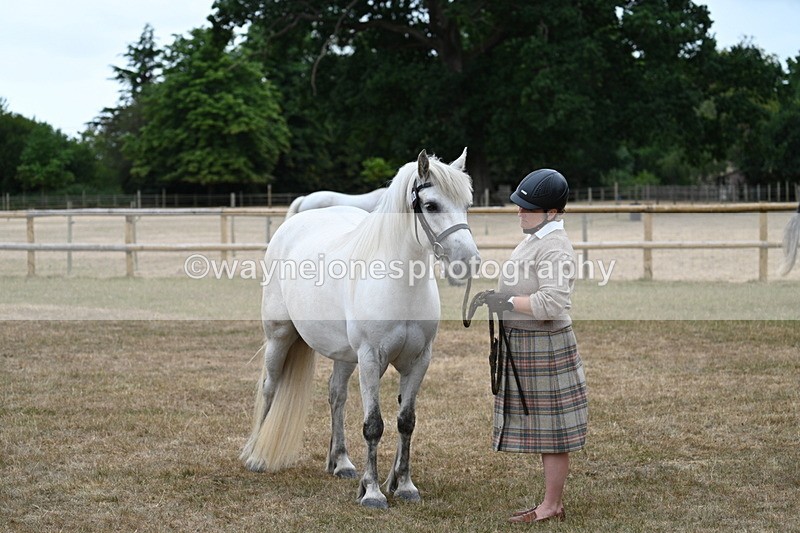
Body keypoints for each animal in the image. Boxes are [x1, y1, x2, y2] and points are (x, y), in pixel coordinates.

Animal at [241, 148, 479, 509]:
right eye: (431, 205)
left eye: (467, 203)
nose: (469, 261)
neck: (400, 286)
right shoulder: (370, 359)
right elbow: (374, 425)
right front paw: (373, 492)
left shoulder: (419, 361)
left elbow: (406, 422)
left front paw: (404, 485)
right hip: (279, 337)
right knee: (270, 386)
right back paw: (257, 454)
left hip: (343, 355)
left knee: (336, 395)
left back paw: (340, 462)